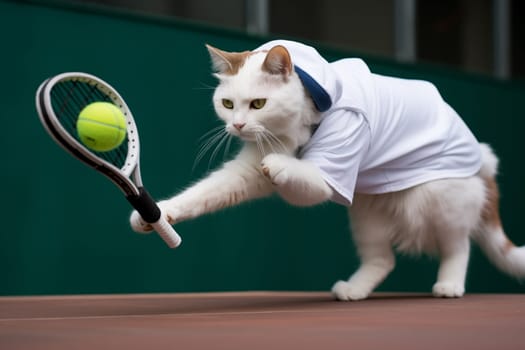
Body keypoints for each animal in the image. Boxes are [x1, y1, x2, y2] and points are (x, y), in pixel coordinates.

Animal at [129, 39, 520, 300]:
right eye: (227, 103)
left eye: (258, 104)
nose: (236, 126)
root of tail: (483, 158)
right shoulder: (246, 171)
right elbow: (199, 196)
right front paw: (157, 215)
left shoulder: (324, 178)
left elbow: (295, 171)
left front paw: (281, 163)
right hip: (367, 214)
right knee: (382, 260)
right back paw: (354, 290)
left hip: (439, 199)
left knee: (458, 245)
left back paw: (450, 285)